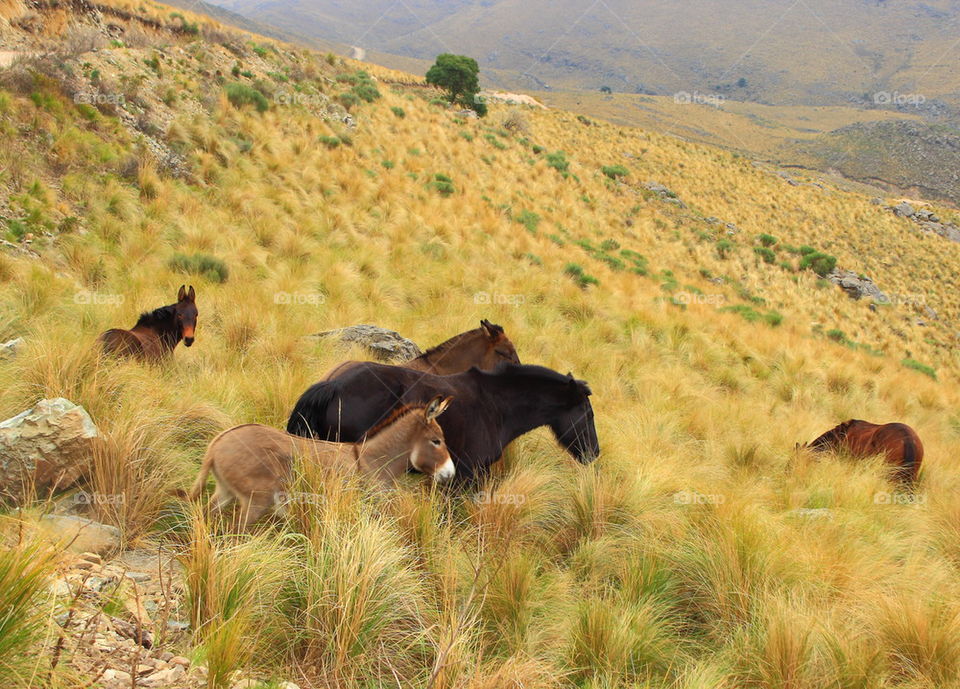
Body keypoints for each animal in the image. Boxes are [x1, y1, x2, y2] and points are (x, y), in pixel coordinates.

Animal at [190, 396, 454, 528]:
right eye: (436, 441)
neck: (367, 460)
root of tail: (216, 444)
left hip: (225, 492)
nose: (450, 474)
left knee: (205, 515)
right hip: (256, 500)